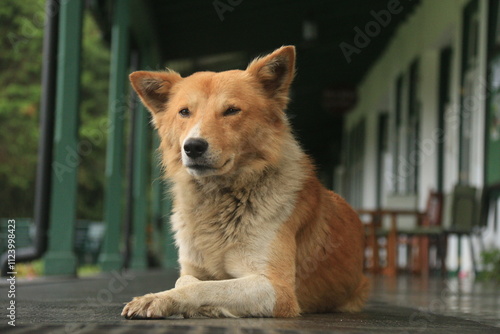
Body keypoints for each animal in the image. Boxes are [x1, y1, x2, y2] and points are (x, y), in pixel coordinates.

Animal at [122, 46, 370, 318]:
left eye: (231, 110)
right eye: (184, 112)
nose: (193, 147)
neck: (222, 199)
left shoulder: (277, 289)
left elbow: (204, 287)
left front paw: (158, 300)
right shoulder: (191, 268)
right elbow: (186, 281)